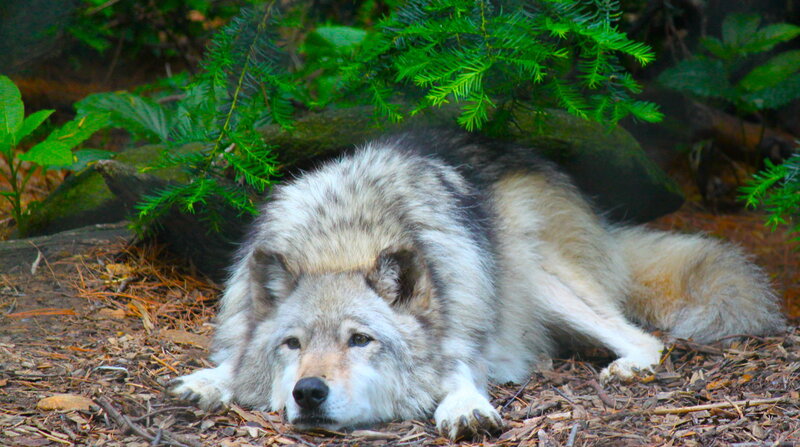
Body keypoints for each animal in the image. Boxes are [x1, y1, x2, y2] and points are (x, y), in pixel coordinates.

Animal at [169, 129, 785, 440]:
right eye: (292, 345)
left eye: (360, 340)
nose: (309, 392)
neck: (344, 241)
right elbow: (233, 360)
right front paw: (210, 382)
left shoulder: (462, 324)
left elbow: (461, 370)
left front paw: (464, 407)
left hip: (536, 277)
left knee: (644, 338)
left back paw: (628, 366)